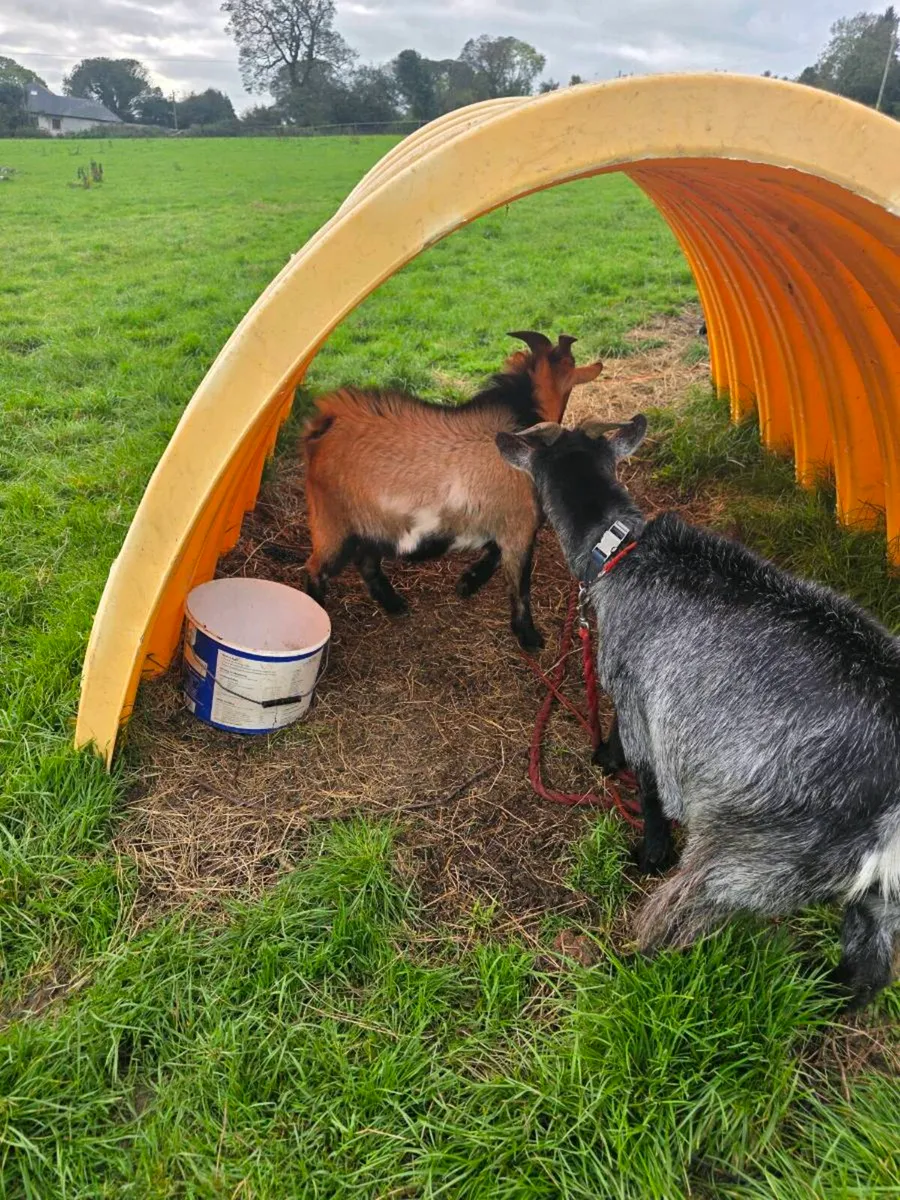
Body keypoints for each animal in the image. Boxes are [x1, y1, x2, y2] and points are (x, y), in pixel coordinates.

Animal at [302, 332, 603, 649]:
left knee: (366, 562)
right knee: (316, 569)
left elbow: (493, 551)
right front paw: (528, 636)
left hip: (372, 523)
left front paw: (467, 582)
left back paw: (394, 604)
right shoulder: (519, 526)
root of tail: (321, 430)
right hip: (333, 523)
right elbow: (519, 583)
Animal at [496, 416, 900, 1009]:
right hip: (878, 894)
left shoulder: (639, 695)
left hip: (747, 854)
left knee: (678, 921)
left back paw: (624, 971)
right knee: (867, 971)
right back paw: (819, 992)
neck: (622, 550)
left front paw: (642, 835)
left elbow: (646, 781)